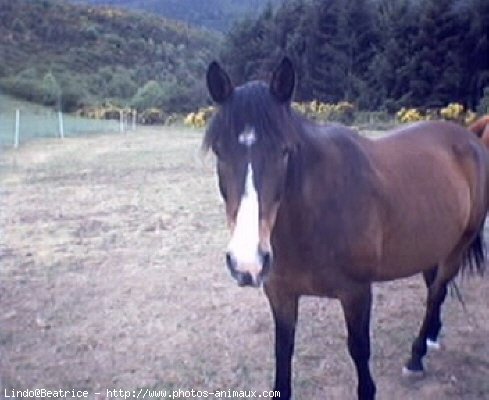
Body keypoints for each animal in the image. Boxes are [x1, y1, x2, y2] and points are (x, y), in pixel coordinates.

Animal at [203, 57, 488, 400]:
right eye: (219, 151)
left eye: (285, 151)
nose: (247, 262)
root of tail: (470, 138)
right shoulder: (280, 293)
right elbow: (283, 351)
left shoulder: (356, 294)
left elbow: (359, 350)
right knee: (436, 287)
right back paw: (431, 338)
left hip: (458, 246)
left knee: (436, 292)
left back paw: (416, 357)